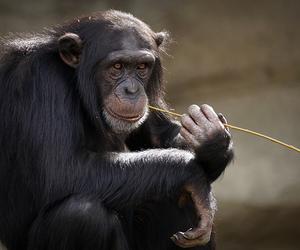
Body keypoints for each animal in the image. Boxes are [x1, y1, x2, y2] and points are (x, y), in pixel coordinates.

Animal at [0, 10, 232, 250]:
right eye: (117, 67)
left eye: (142, 67)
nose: (132, 90)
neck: (74, 80)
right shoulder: (41, 79)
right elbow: (60, 170)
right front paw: (192, 173)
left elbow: (159, 137)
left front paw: (211, 139)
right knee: (81, 214)